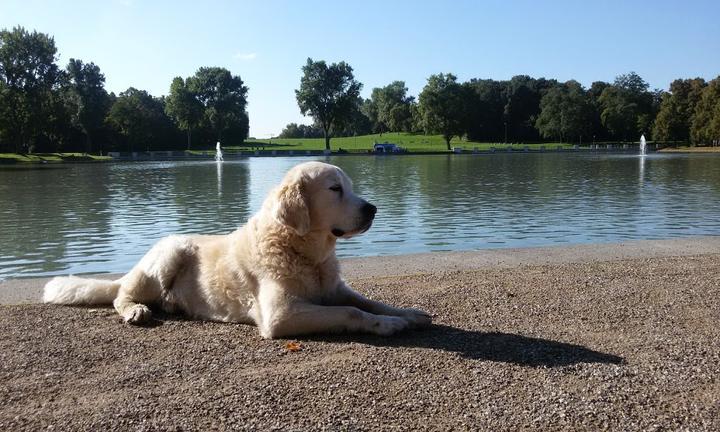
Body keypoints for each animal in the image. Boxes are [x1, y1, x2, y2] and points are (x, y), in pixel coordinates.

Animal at [45, 161, 430, 338]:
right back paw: (136, 310)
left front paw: (406, 313)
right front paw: (387, 325)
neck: (306, 252)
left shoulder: (334, 289)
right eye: (335, 189)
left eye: (350, 186)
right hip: (169, 253)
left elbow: (369, 302)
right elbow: (352, 312)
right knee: (119, 295)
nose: (373, 209)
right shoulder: (280, 315)